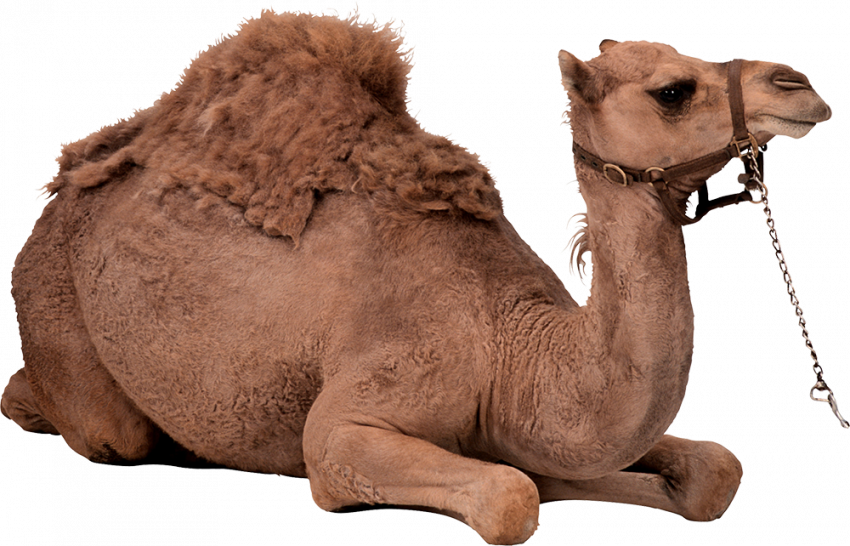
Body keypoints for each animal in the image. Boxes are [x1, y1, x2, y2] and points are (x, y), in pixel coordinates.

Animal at [0, 10, 832, 545]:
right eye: (672, 90)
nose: (797, 86)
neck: (513, 342)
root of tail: (56, 200)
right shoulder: (349, 421)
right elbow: (510, 495)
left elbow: (711, 472)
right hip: (55, 303)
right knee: (95, 422)